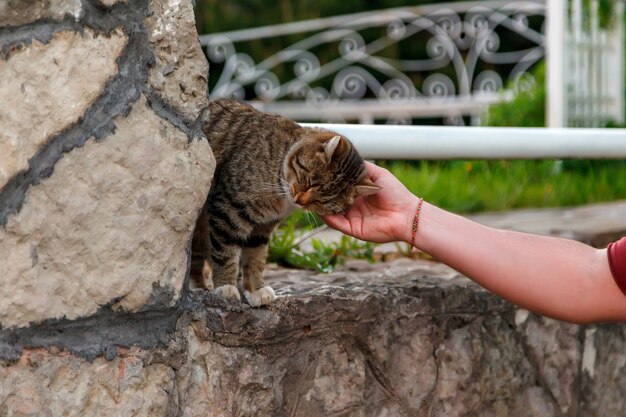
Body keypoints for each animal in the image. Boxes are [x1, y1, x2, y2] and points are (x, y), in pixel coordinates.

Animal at [190, 98, 378, 306]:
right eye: (311, 182)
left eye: (323, 202)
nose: (300, 201)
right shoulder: (228, 208)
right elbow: (226, 252)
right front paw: (225, 285)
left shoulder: (263, 226)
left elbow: (255, 258)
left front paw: (255, 288)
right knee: (196, 256)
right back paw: (198, 286)